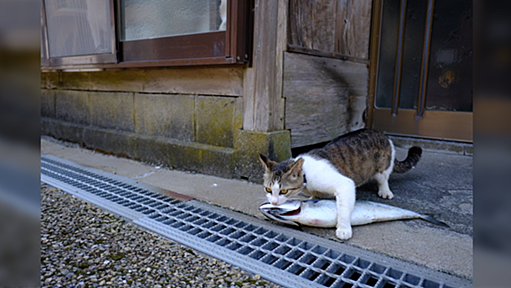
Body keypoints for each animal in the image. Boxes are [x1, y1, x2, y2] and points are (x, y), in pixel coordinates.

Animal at [260, 129, 424, 240]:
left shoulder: (344, 183)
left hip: (382, 167)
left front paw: (344, 229)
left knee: (383, 178)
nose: (274, 202)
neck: (306, 176)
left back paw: (385, 191)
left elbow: (344, 209)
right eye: (268, 189)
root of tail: (383, 134)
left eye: (283, 191)